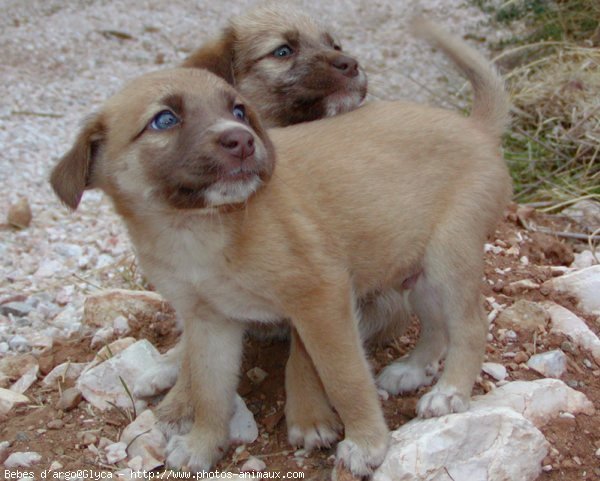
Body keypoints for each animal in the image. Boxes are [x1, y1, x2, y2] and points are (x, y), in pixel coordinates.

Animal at [50, 18, 510, 476]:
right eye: (164, 119)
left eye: (238, 111)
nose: (242, 141)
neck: (199, 228)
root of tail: (473, 126)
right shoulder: (209, 321)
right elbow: (209, 391)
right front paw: (201, 445)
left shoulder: (321, 299)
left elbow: (342, 376)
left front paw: (367, 443)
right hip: (415, 268)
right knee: (436, 325)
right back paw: (413, 369)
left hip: (448, 258)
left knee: (471, 326)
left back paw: (449, 392)